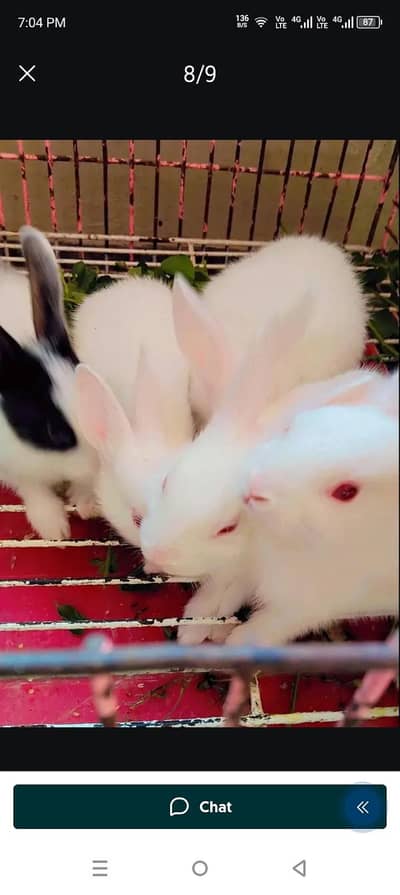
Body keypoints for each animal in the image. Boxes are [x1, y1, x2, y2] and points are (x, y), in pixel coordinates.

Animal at [0, 227, 97, 540]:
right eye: (54, 433)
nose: (100, 463)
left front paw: (87, 502)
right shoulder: (13, 465)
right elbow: (33, 488)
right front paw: (55, 528)